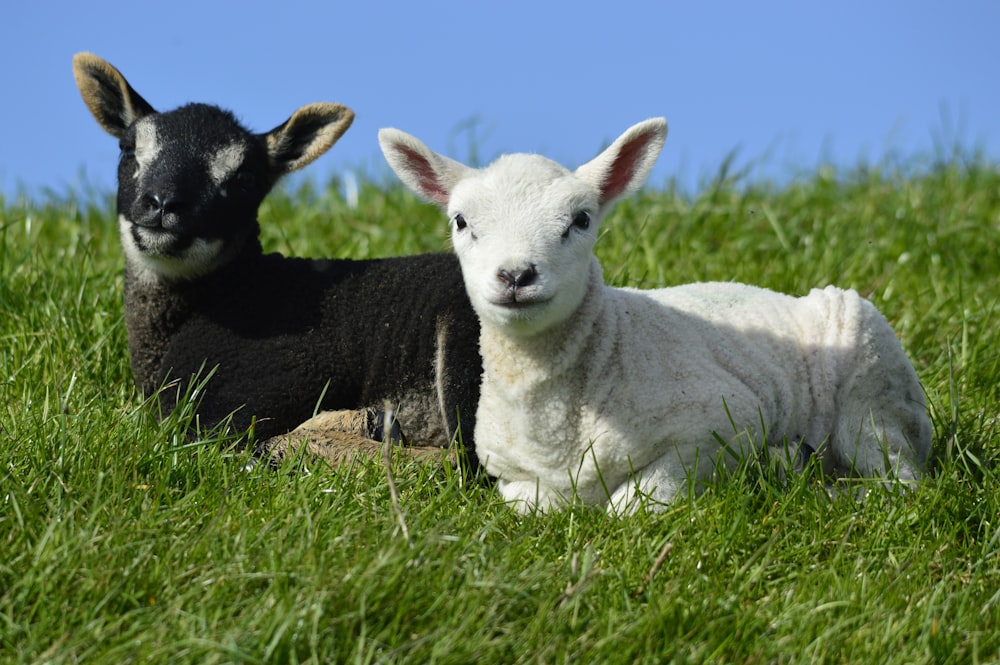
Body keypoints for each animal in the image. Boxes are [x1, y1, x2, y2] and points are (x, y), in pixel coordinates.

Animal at [72, 52, 486, 466]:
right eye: (128, 149)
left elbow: (214, 439)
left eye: (244, 178)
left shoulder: (284, 376)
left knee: (464, 461)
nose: (162, 204)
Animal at [378, 116, 932, 510]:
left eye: (581, 220)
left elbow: (635, 504)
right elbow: (533, 505)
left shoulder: (719, 424)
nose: (516, 275)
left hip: (874, 394)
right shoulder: (509, 476)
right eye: (461, 221)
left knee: (902, 480)